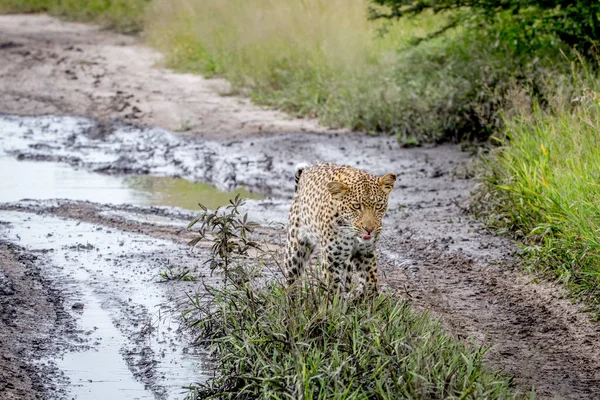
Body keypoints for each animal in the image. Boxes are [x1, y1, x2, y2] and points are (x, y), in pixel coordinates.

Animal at [284, 161, 396, 296]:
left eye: (378, 206)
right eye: (356, 206)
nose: (369, 229)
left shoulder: (366, 253)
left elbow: (371, 282)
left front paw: (369, 298)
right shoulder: (331, 259)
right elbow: (333, 290)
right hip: (295, 248)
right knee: (292, 278)